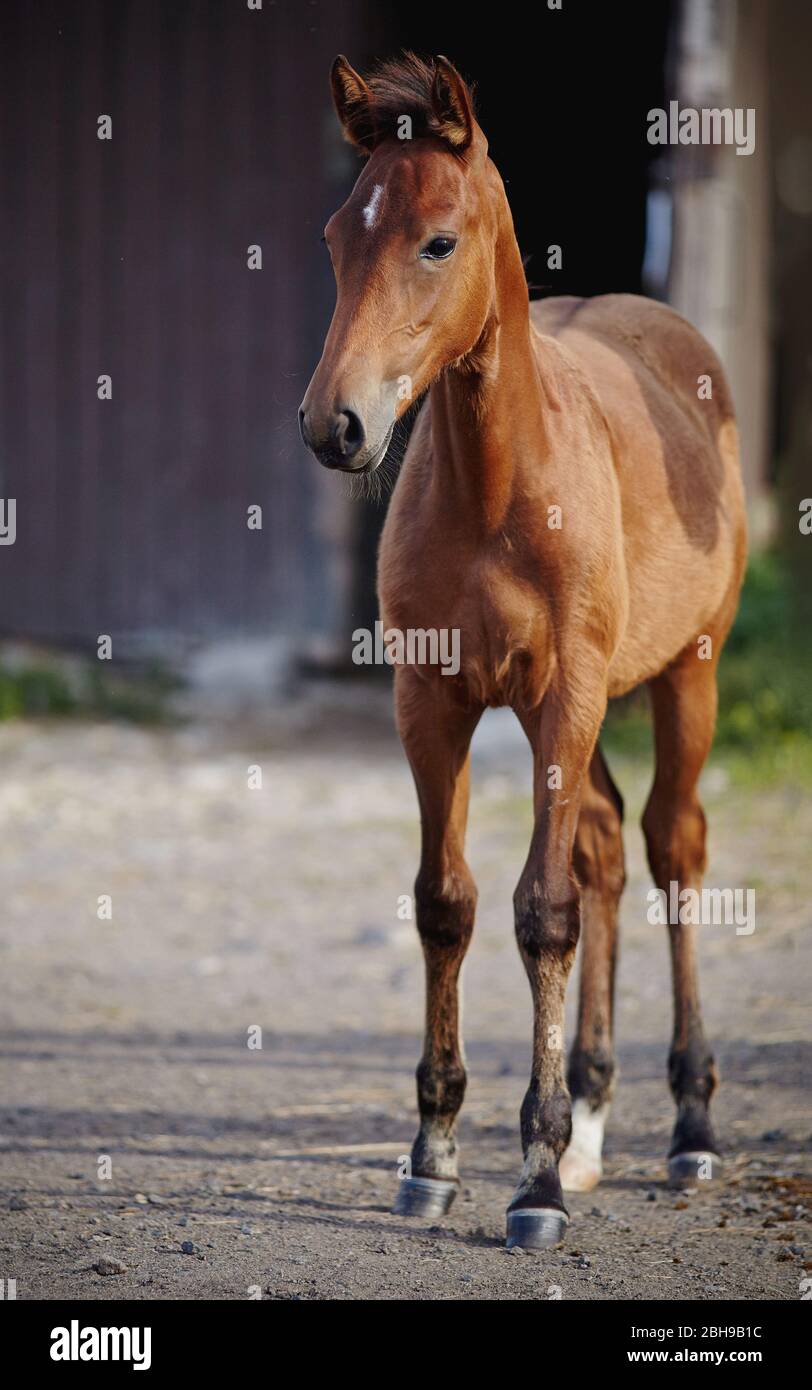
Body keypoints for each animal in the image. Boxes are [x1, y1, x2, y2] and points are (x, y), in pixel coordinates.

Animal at [299, 52, 747, 1249]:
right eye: (335, 236)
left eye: (437, 242)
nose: (334, 426)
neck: (499, 487)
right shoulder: (431, 700)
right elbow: (444, 903)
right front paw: (435, 1154)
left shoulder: (565, 696)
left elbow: (541, 913)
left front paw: (532, 1181)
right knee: (600, 847)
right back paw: (590, 1121)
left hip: (683, 672)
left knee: (669, 846)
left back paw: (686, 1126)